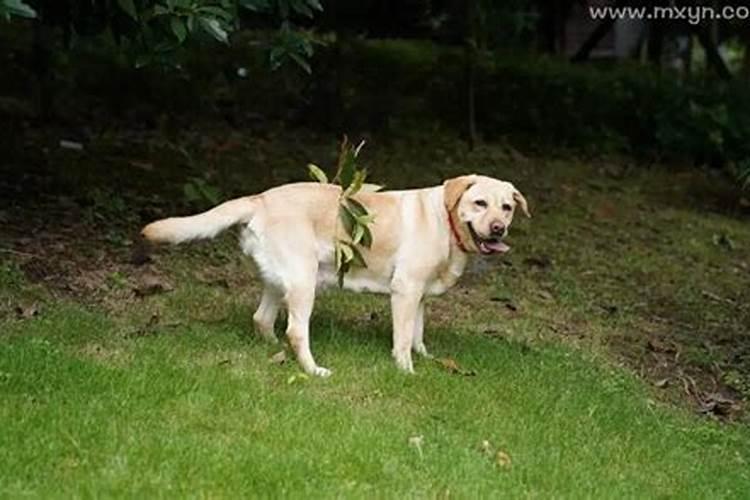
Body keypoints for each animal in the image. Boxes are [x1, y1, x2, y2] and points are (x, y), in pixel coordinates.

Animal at [141, 175, 528, 376]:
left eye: (507, 207)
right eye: (479, 203)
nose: (499, 228)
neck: (446, 221)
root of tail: (260, 198)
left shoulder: (418, 295)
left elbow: (418, 332)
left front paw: (427, 357)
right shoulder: (405, 289)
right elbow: (403, 338)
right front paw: (406, 370)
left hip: (279, 281)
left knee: (262, 319)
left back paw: (273, 349)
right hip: (304, 281)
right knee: (296, 331)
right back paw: (313, 370)